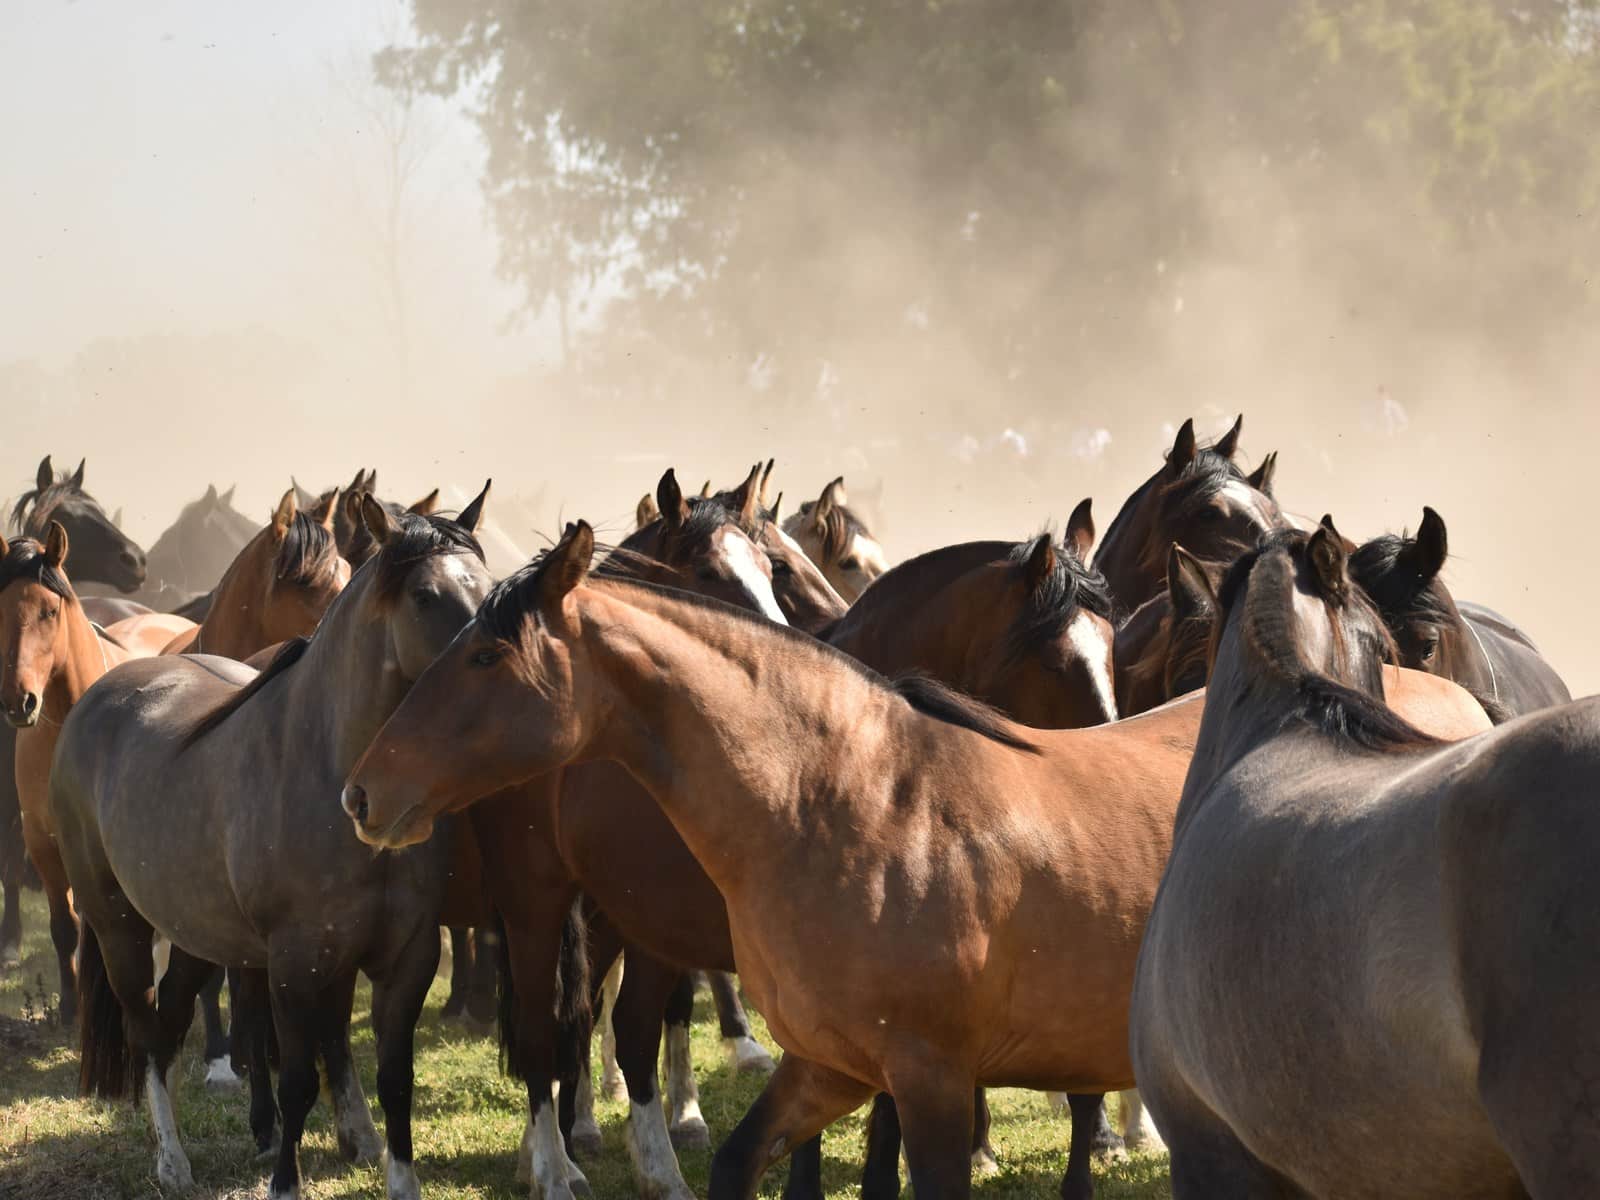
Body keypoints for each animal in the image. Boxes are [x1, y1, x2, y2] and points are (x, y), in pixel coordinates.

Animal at [0, 526, 193, 1020]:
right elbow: (64, 925)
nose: (19, 702)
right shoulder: (41, 839)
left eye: (49, 611)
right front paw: (70, 1006)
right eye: (0, 611)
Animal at [51, 489, 491, 1200]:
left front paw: (399, 1179)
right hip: (118, 924)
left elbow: (395, 1080)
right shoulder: (294, 963)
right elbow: (299, 1078)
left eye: (488, 583)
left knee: (171, 1022)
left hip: (198, 932)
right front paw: (286, 1180)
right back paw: (171, 1161)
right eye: (426, 596)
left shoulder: (409, 957)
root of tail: (98, 695)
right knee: (145, 1030)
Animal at [342, 520, 1205, 1200]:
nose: (362, 791)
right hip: (539, 904)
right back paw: (560, 1162)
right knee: (554, 1025)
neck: (858, 796)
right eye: (1054, 659)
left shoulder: (888, 1062)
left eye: (487, 655)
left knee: (610, 1025)